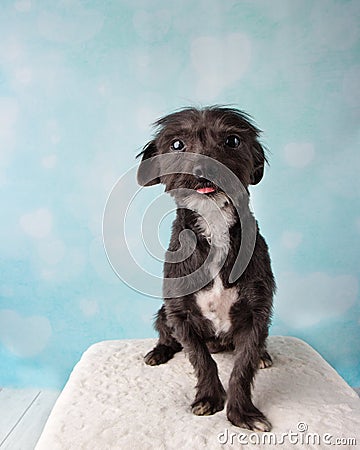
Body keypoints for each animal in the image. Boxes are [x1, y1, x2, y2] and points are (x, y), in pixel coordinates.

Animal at [136, 106, 274, 432]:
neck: (214, 225)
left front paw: (242, 413)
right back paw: (159, 352)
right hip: (163, 313)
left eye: (233, 140)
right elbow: (200, 358)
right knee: (166, 335)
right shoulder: (180, 314)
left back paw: (263, 355)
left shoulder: (257, 312)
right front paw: (210, 398)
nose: (205, 168)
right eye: (176, 144)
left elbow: (243, 365)